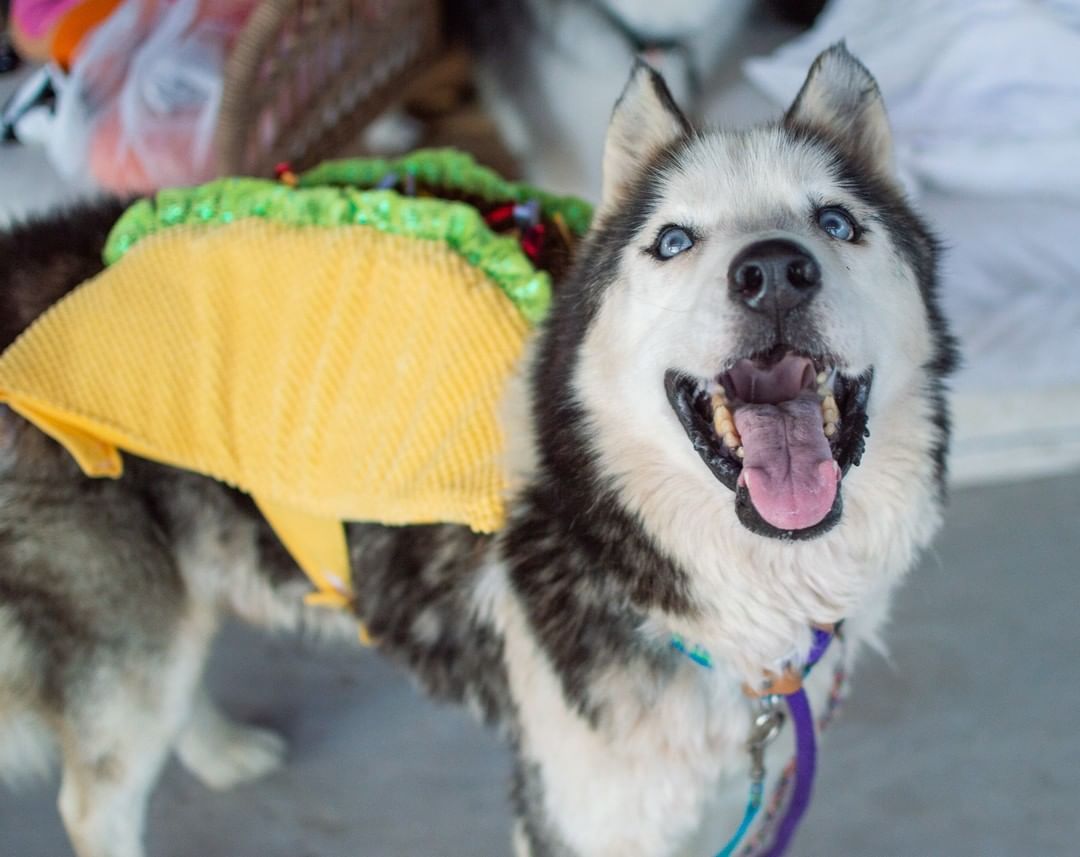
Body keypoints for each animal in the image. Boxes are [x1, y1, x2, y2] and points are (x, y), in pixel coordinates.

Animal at [0, 45, 959, 854]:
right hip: (120, 630)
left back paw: (218, 748)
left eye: (836, 221)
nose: (773, 272)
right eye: (674, 240)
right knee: (98, 794)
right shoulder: (578, 817)